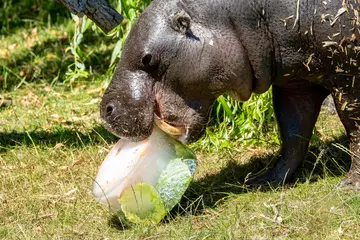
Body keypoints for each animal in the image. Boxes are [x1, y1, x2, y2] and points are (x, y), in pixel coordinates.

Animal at [100, 0, 360, 188]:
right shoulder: (294, 83)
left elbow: (355, 130)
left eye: (148, 59)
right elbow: (293, 133)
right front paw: (262, 180)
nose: (105, 110)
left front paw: (349, 185)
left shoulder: (348, 79)